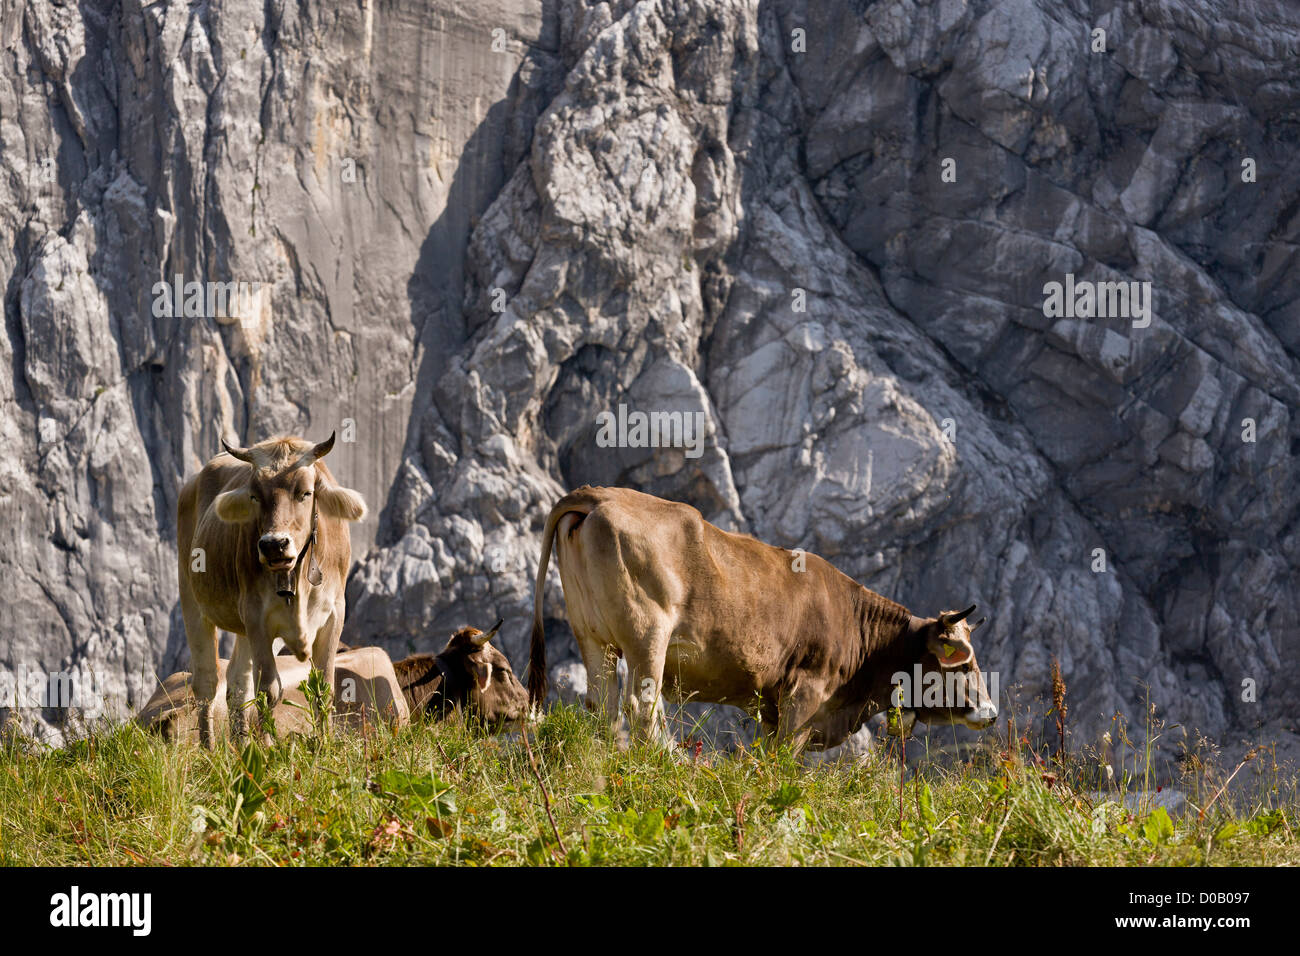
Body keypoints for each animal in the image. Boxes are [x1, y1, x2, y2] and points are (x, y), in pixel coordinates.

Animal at [175, 434, 364, 749]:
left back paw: (241, 747)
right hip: (192, 601)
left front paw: (323, 744)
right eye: (254, 496)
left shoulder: (335, 613)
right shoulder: (256, 617)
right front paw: (267, 748)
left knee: (237, 683)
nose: (274, 544)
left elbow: (324, 688)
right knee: (207, 683)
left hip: (245, 629)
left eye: (306, 492)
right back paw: (209, 749)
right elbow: (268, 690)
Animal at [527, 489, 993, 749]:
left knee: (602, 706)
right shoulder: (805, 693)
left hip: (593, 636)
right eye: (963, 663)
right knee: (642, 706)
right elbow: (784, 760)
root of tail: (600, 494)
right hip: (647, 636)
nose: (990, 711)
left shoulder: (771, 706)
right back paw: (670, 764)